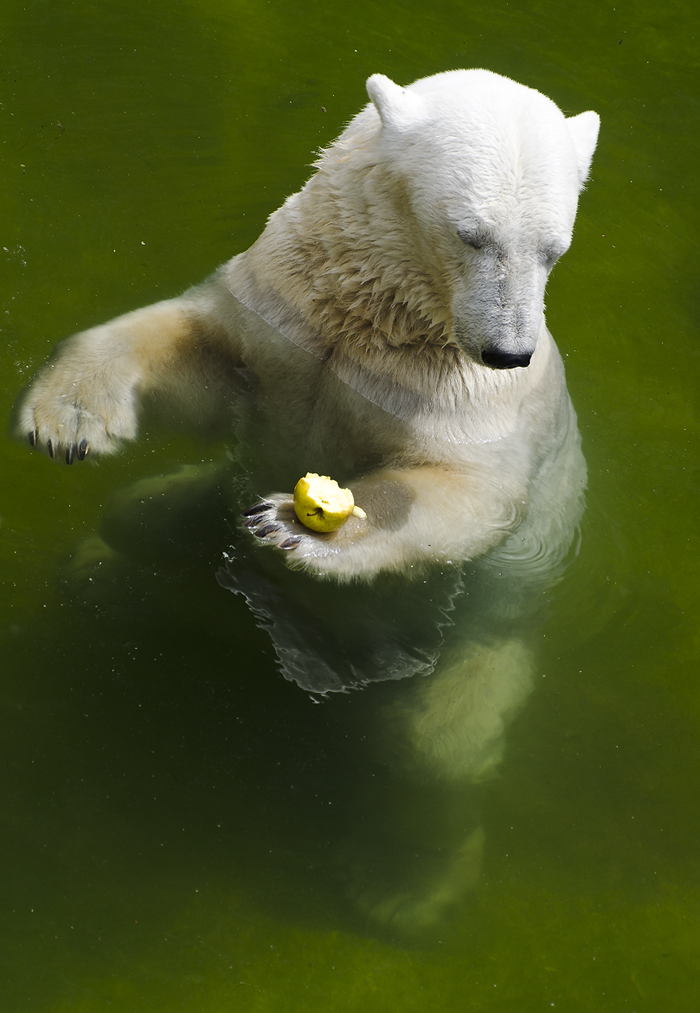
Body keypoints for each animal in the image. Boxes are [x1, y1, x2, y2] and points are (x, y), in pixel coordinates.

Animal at [15, 71, 595, 936]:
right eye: (472, 235)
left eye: (554, 247)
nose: (509, 349)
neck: (381, 320)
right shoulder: (281, 315)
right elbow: (192, 355)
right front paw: (70, 415)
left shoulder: (466, 404)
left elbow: (464, 495)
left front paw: (303, 527)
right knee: (139, 522)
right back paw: (116, 564)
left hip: (489, 634)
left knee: (435, 742)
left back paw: (402, 883)